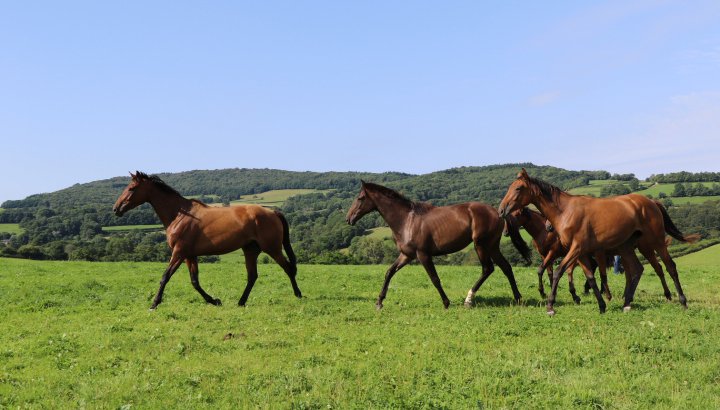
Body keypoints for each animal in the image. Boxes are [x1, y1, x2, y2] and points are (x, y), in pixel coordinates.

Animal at [112, 171, 302, 309]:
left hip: (272, 248)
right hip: (250, 250)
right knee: (252, 276)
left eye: (131, 188)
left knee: (288, 269)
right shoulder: (190, 255)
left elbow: (165, 276)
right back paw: (241, 302)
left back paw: (298, 295)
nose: (116, 209)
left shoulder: (178, 253)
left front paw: (154, 303)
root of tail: (273, 212)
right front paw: (214, 300)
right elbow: (195, 281)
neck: (179, 214)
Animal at [346, 181, 531, 309]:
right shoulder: (406, 255)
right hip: (492, 246)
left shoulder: (423, 255)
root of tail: (498, 212)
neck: (406, 221)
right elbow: (389, 272)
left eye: (360, 198)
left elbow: (435, 279)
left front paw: (446, 302)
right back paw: (518, 298)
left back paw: (468, 300)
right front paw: (379, 302)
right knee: (506, 267)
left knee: (488, 269)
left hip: (481, 245)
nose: (349, 218)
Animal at [498, 169, 697, 315]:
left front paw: (550, 306)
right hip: (627, 248)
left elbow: (558, 272)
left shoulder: (575, 249)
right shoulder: (581, 253)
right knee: (637, 270)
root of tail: (651, 202)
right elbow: (591, 278)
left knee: (669, 267)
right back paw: (627, 303)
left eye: (518, 188)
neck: (566, 211)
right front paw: (601, 305)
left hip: (654, 243)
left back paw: (682, 301)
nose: (501, 210)